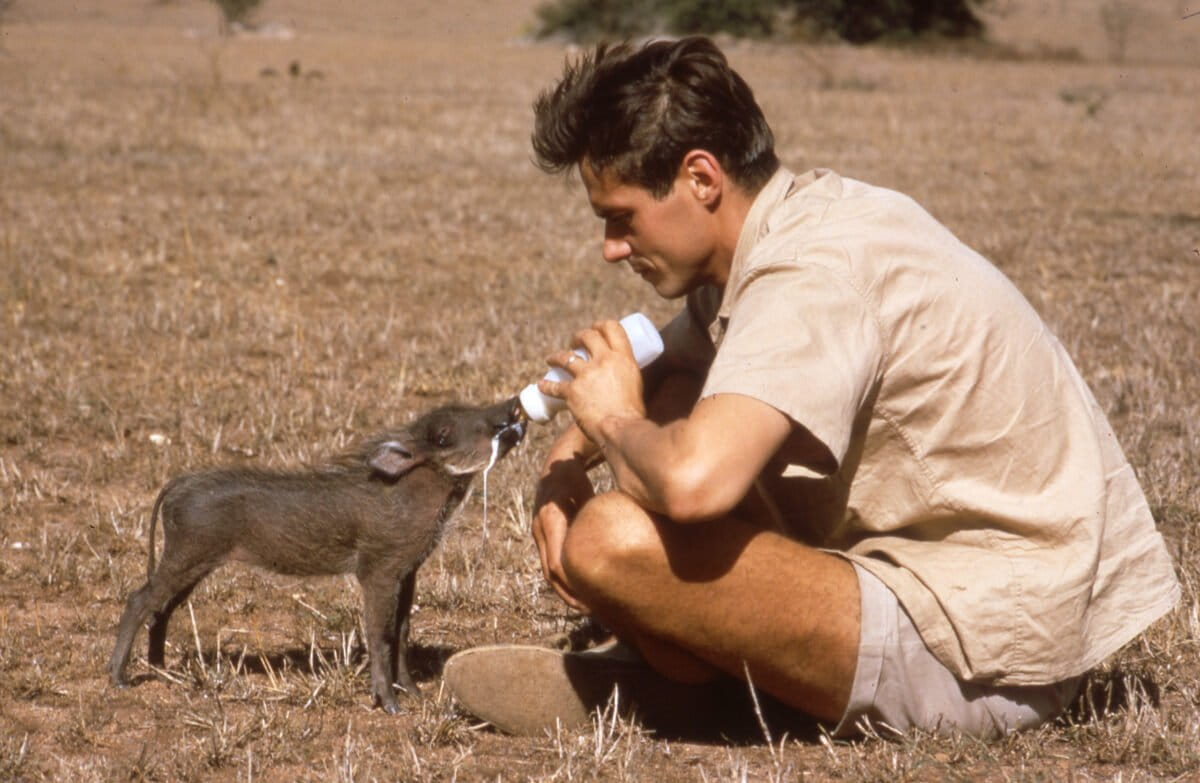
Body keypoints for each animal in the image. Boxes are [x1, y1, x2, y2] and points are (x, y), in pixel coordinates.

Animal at [109, 397, 525, 713]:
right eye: (442, 436)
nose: (513, 407)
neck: (415, 491)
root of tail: (181, 482)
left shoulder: (407, 571)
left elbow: (402, 631)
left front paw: (413, 693)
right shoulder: (377, 572)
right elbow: (379, 634)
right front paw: (390, 705)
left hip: (194, 563)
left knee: (161, 609)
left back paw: (162, 670)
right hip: (186, 556)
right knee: (139, 600)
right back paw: (119, 678)